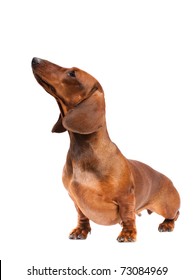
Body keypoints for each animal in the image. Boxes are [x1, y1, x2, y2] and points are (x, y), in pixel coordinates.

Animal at [31, 58, 180, 242]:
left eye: (72, 73)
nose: (35, 59)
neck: (84, 151)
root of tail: (168, 179)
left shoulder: (125, 198)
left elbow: (128, 216)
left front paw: (127, 233)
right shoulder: (76, 200)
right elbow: (82, 216)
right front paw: (81, 230)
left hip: (166, 206)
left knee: (175, 214)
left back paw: (167, 224)